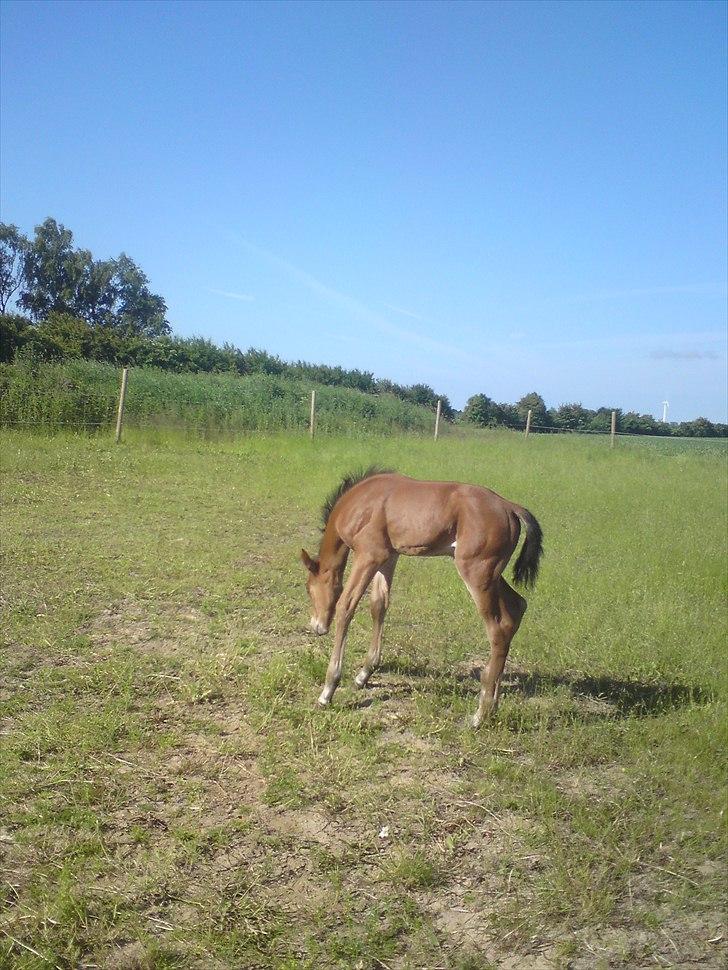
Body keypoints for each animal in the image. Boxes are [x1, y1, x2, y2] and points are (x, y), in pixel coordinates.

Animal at [298, 468, 544, 728]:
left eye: (308, 588)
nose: (317, 626)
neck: (359, 502)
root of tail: (510, 507)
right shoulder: (388, 556)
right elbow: (379, 605)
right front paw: (364, 673)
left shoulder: (369, 555)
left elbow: (347, 605)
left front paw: (328, 690)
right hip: (492, 575)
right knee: (516, 608)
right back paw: (493, 706)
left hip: (477, 572)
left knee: (499, 628)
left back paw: (480, 714)